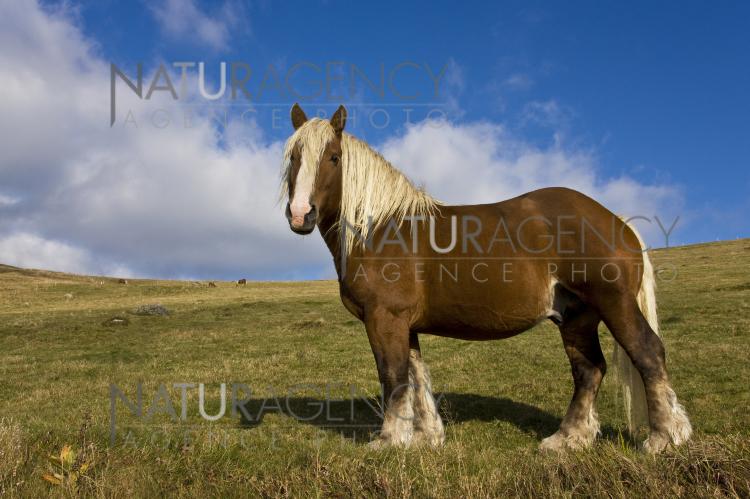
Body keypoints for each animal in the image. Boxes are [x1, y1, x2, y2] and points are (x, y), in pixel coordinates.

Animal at [280, 102, 692, 454]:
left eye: (333, 158)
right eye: (294, 158)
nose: (300, 214)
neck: (380, 229)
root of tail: (617, 221)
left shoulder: (385, 318)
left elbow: (393, 376)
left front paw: (389, 441)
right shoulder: (405, 325)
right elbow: (417, 376)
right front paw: (427, 437)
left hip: (615, 304)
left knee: (647, 353)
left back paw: (664, 438)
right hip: (577, 317)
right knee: (589, 370)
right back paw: (567, 439)